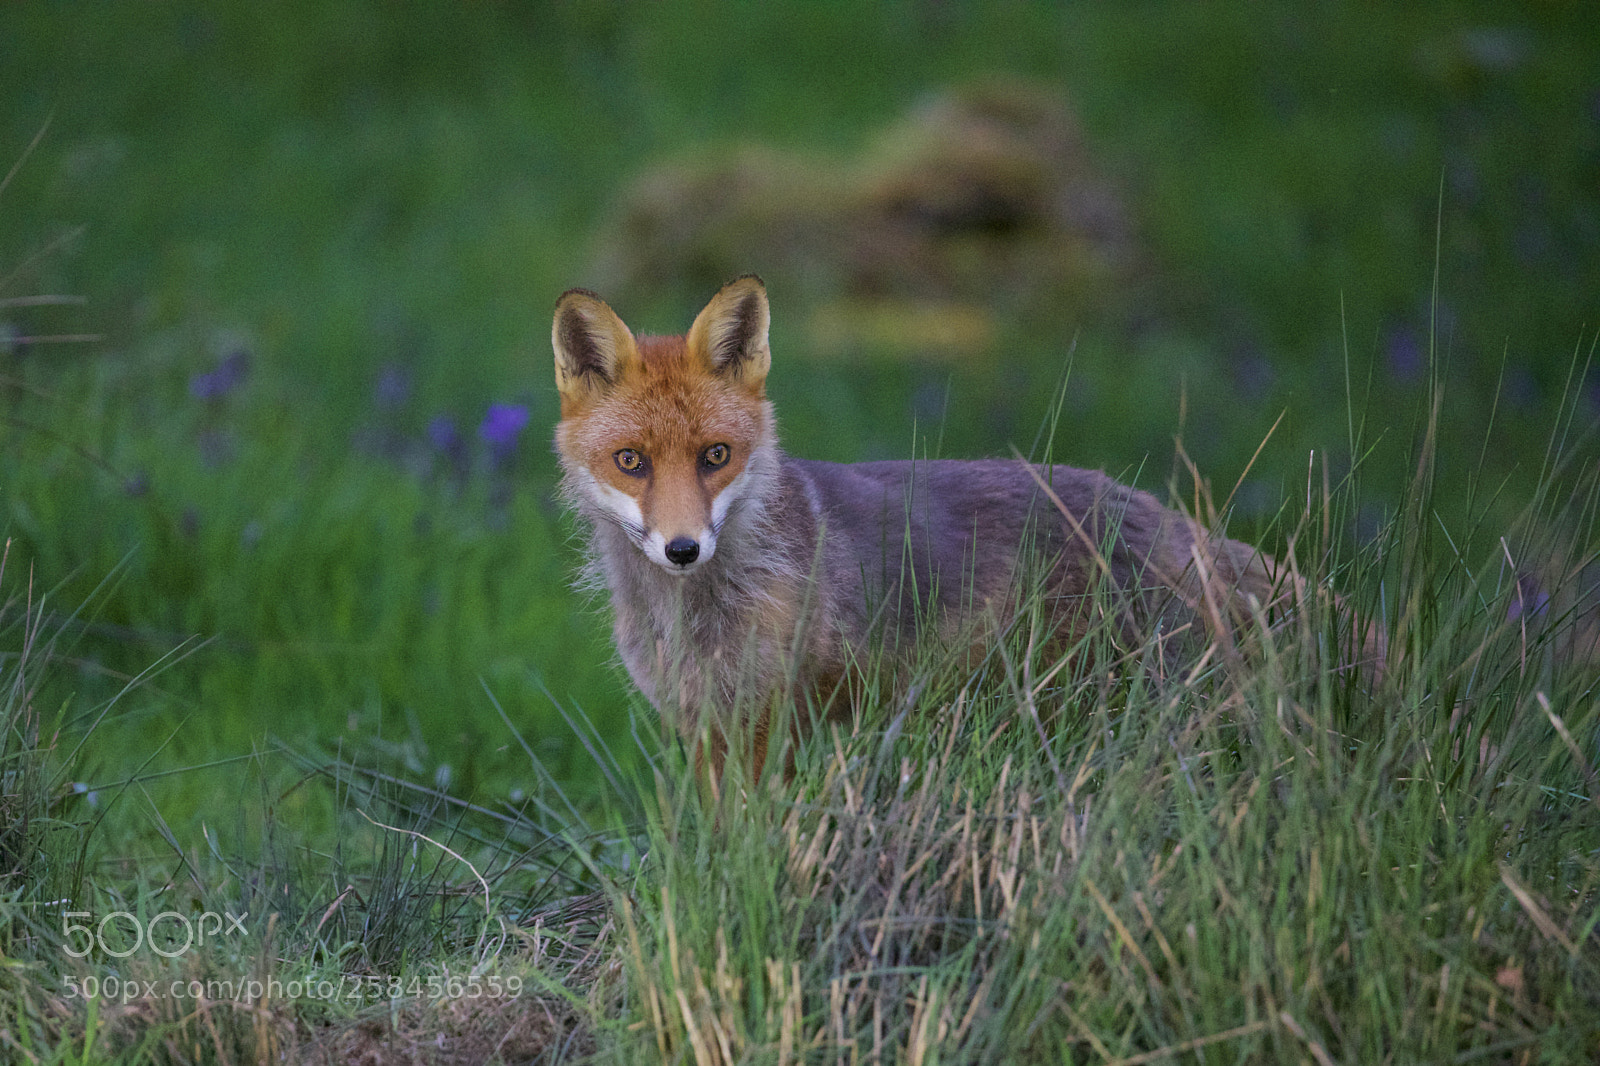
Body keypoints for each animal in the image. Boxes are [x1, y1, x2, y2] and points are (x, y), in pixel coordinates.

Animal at [552, 275, 1301, 780]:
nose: (683, 549)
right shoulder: (703, 724)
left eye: (715, 456)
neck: (691, 620)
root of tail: (1159, 514)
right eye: (631, 461)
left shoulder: (773, 718)